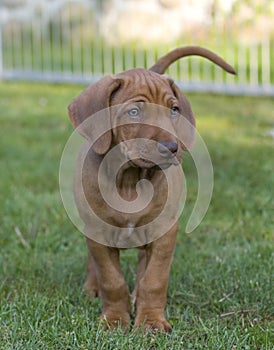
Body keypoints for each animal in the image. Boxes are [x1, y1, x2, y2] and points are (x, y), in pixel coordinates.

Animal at [68, 45, 235, 330]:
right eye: (134, 112)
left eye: (174, 110)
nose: (172, 148)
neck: (129, 181)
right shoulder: (98, 231)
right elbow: (112, 280)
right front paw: (114, 319)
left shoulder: (164, 233)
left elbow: (154, 280)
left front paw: (150, 321)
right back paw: (92, 288)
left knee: (143, 266)